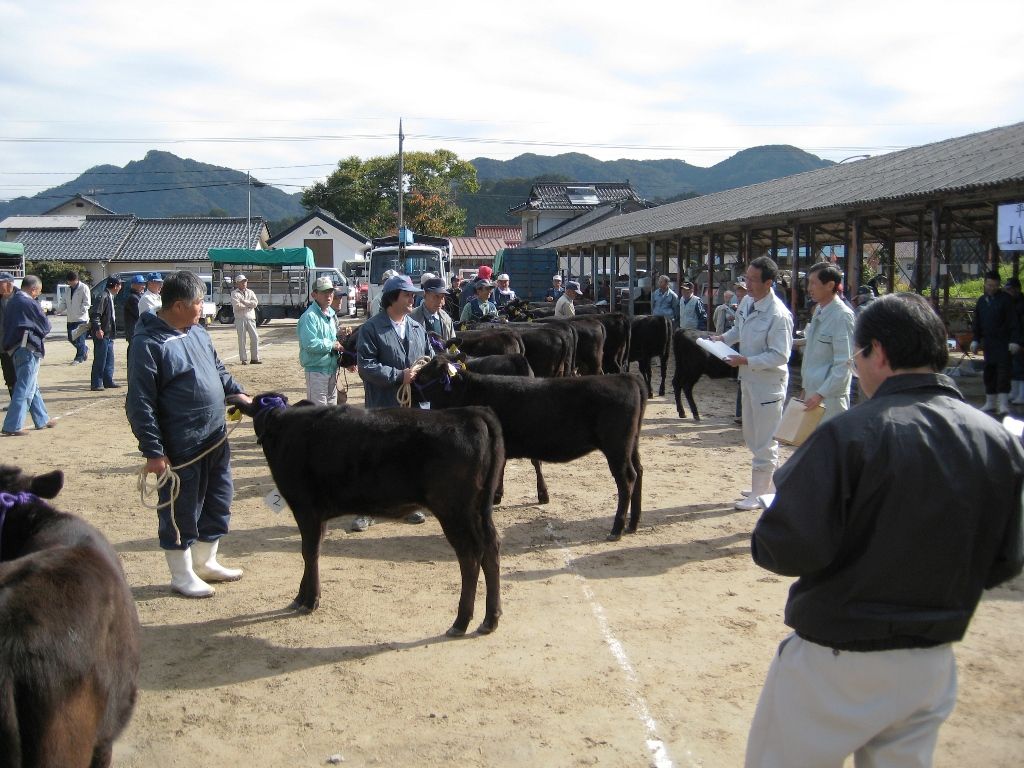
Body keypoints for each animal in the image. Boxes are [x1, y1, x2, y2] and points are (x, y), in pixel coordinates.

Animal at [230, 393, 505, 638]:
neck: (283, 426)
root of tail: (468, 413)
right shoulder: (317, 515)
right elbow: (312, 552)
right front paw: (301, 596)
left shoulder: (305, 508)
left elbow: (308, 552)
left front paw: (309, 600)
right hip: (479, 511)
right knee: (491, 550)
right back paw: (490, 620)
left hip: (454, 511)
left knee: (470, 557)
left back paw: (460, 622)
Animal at [409, 360, 643, 540]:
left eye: (424, 375)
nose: (408, 385)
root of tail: (626, 377)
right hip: (631, 444)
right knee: (639, 471)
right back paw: (633, 523)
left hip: (617, 447)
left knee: (627, 479)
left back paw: (617, 529)